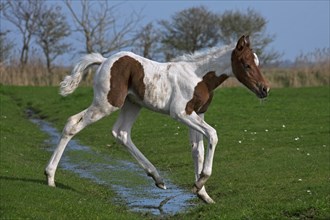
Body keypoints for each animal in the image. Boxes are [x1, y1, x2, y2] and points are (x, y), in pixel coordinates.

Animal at [45, 35, 270, 204]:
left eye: (257, 63)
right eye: (247, 65)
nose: (264, 89)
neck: (199, 76)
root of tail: (104, 61)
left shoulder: (198, 114)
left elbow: (198, 150)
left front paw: (203, 194)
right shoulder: (181, 113)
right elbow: (213, 135)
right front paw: (200, 183)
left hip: (132, 105)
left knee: (121, 133)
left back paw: (158, 178)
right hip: (107, 103)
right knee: (72, 124)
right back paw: (50, 177)